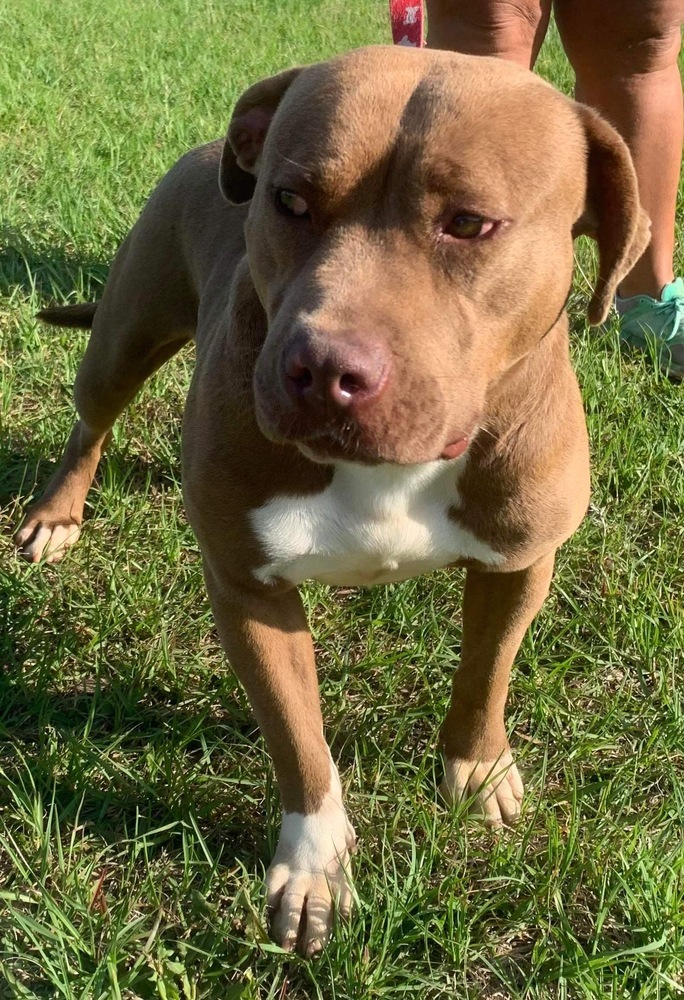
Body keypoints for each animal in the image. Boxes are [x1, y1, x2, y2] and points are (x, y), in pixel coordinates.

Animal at [14, 47, 648, 952]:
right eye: (290, 201)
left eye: (469, 224)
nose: (322, 370)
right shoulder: (250, 590)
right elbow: (298, 739)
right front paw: (314, 865)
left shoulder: (520, 560)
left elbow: (486, 672)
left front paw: (478, 768)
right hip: (124, 335)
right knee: (91, 420)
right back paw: (57, 514)